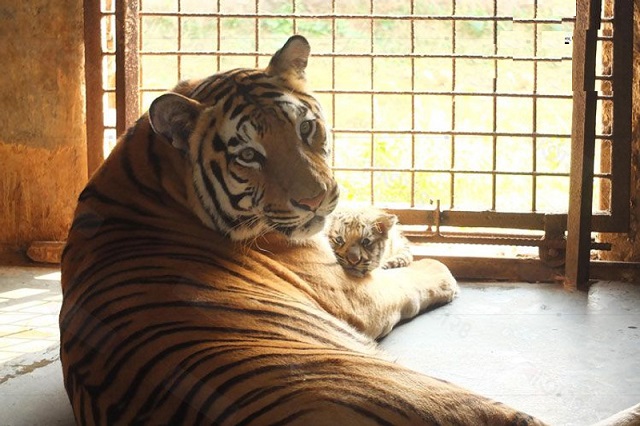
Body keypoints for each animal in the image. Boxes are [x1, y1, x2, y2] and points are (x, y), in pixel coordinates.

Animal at [59, 35, 640, 425]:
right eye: (248, 155)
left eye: (305, 127)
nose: (317, 198)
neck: (152, 173)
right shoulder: (351, 293)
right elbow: (415, 278)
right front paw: (432, 266)